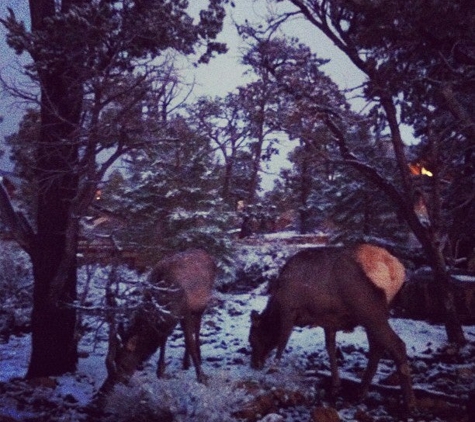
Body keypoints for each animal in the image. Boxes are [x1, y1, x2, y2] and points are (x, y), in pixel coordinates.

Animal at [102, 247, 218, 392]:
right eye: (116, 360)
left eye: (122, 364)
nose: (108, 386)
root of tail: (207, 254)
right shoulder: (171, 317)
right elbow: (164, 338)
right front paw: (160, 370)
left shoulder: (184, 312)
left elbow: (188, 341)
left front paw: (201, 376)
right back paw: (186, 362)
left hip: (202, 304)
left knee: (197, 327)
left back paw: (197, 356)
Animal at [249, 242, 416, 410]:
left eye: (251, 339)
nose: (254, 364)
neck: (276, 305)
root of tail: (395, 270)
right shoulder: (328, 320)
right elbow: (330, 348)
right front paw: (336, 384)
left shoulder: (289, 310)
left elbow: (282, 342)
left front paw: (273, 369)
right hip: (371, 315)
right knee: (377, 347)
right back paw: (361, 392)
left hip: (369, 310)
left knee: (397, 345)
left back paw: (409, 401)